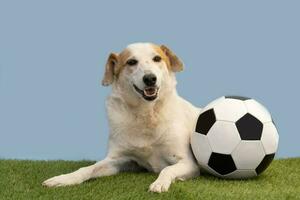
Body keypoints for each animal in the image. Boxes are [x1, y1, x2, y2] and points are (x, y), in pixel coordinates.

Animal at [42, 43, 202, 193]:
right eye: (131, 62)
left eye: (157, 58)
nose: (150, 78)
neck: (145, 113)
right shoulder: (119, 160)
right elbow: (88, 168)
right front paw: (64, 178)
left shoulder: (188, 163)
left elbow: (167, 169)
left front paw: (160, 183)